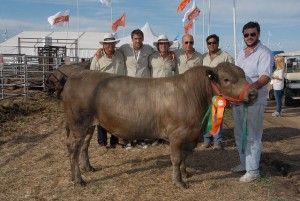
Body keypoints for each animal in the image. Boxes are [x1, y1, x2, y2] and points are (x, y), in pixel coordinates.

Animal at [62, 62, 256, 188]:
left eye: (244, 75)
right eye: (226, 79)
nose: (253, 93)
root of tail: (77, 74)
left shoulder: (190, 135)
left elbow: (185, 156)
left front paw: (186, 173)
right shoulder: (177, 135)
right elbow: (176, 158)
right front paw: (179, 182)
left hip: (89, 125)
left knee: (84, 146)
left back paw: (88, 167)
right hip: (78, 123)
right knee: (73, 148)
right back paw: (78, 180)